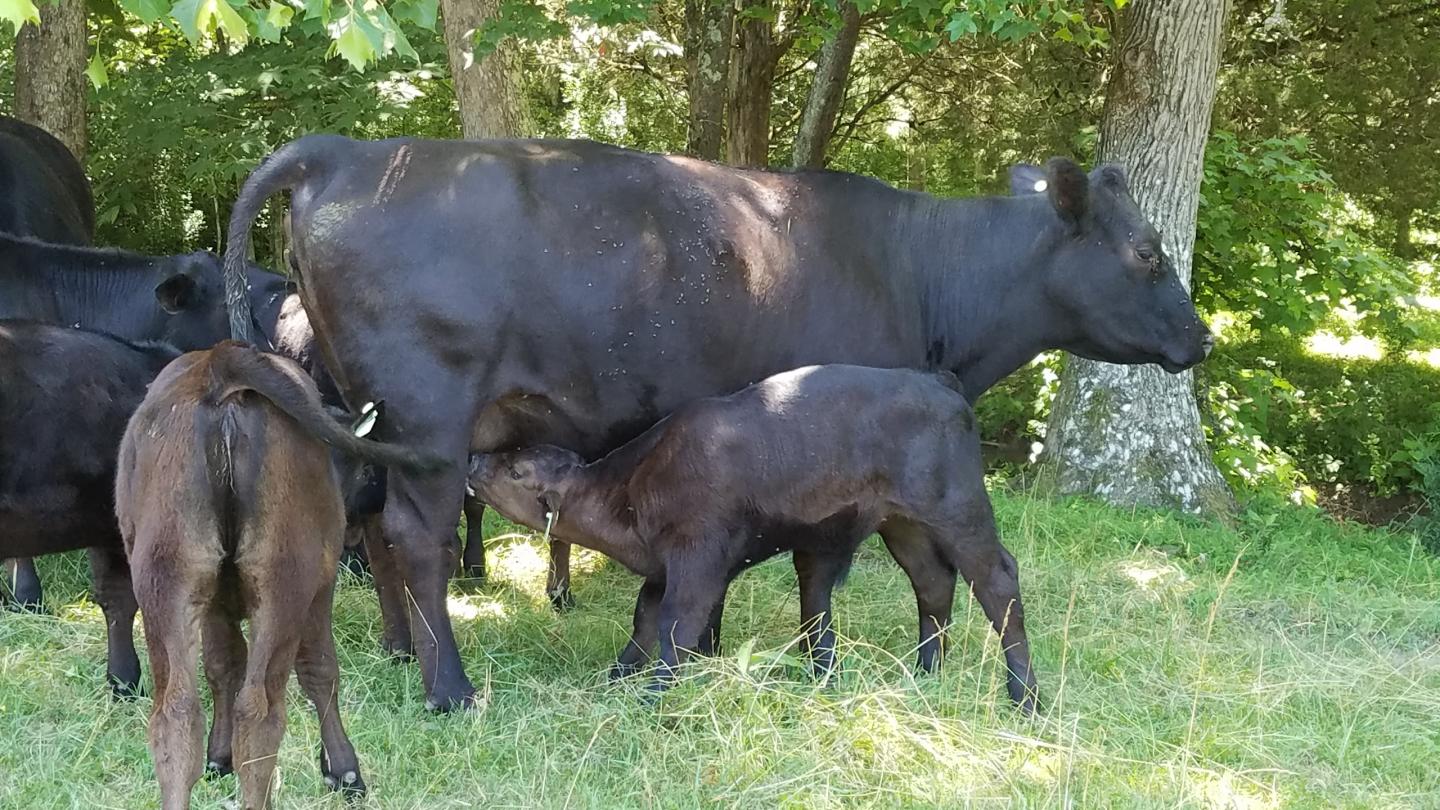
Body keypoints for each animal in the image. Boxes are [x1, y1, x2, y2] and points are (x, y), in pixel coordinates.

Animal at [116, 341, 441, 809]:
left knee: (176, 712)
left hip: (167, 577)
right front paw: (344, 772)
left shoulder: (214, 605)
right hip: (284, 581)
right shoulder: (320, 583)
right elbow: (320, 670)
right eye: (363, 471)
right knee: (261, 710)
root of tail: (220, 365)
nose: (367, 512)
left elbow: (223, 665)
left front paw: (219, 758)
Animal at [467, 365, 1037, 707]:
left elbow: (676, 625)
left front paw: (655, 696)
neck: (633, 491)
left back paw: (1024, 697)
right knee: (933, 582)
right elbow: (644, 620)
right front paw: (619, 676)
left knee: (997, 581)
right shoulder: (663, 568)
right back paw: (925, 674)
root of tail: (941, 384)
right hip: (903, 525)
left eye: (517, 470)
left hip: (958, 510)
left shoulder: (698, 559)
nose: (473, 461)